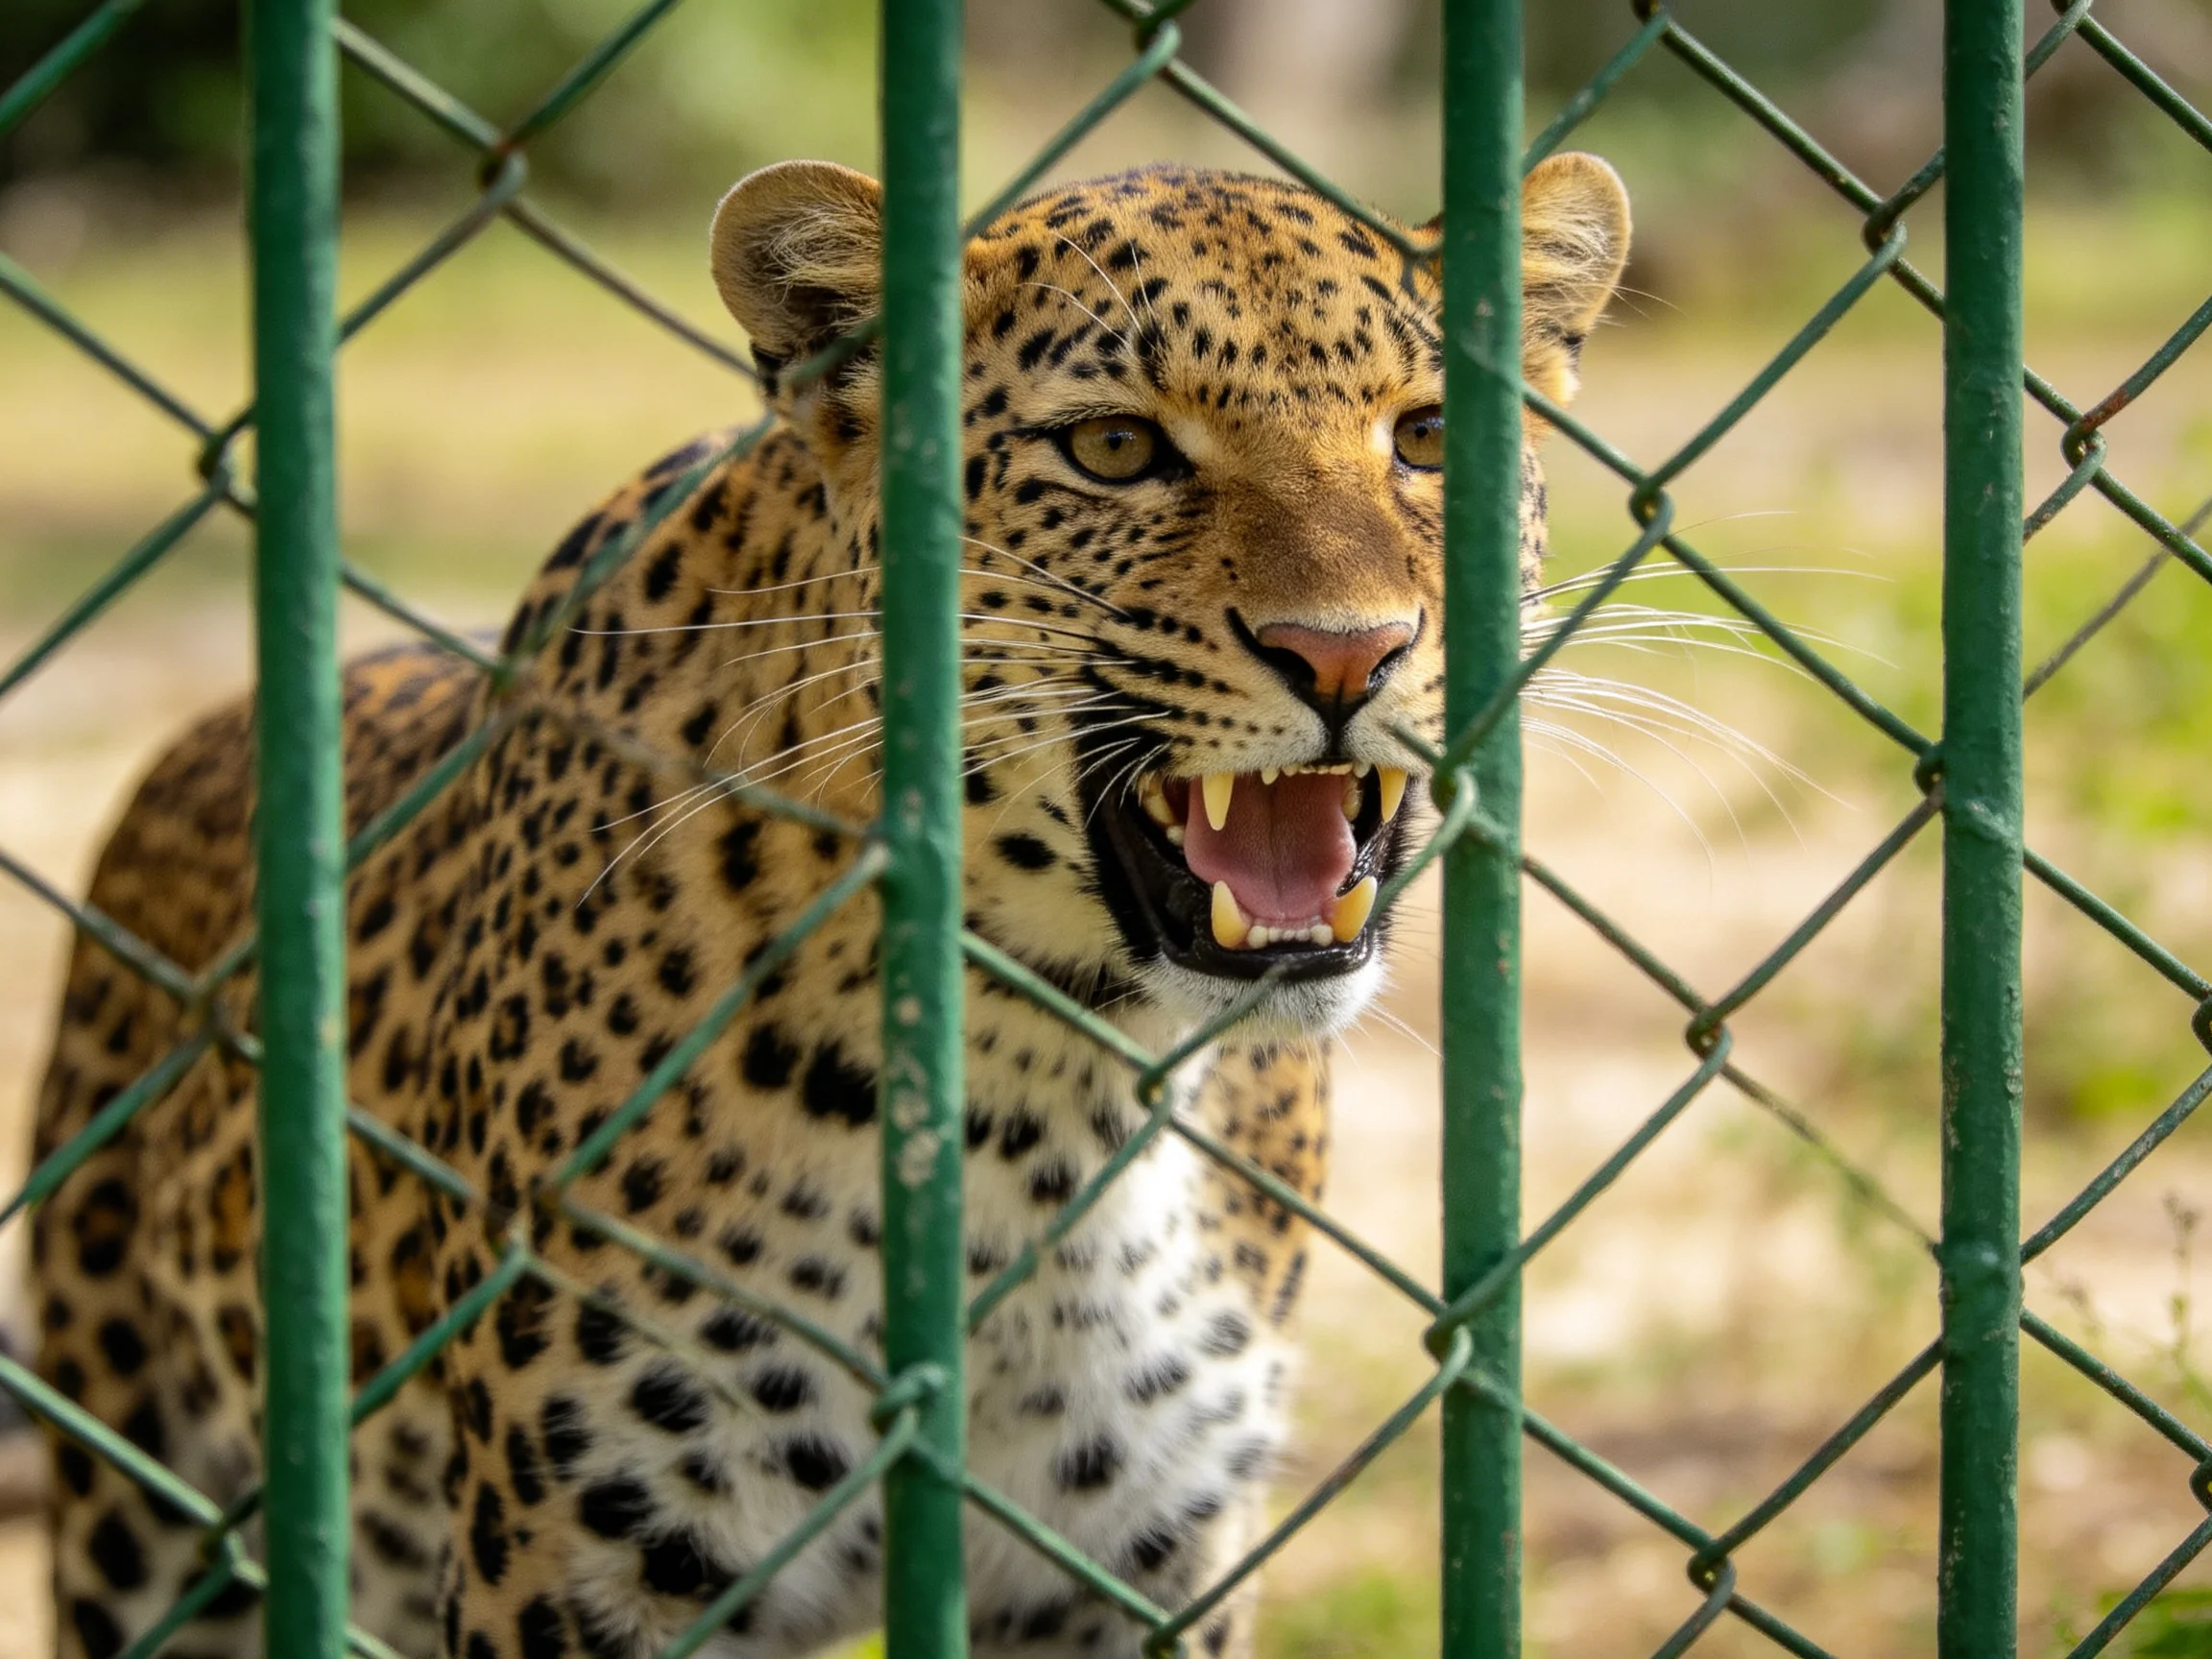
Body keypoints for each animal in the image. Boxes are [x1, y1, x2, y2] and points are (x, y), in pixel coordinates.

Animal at [25, 152, 1628, 1659]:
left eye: (1429, 438)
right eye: (1113, 448)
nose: (1351, 652)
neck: (1045, 1105)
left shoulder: (1148, 1562)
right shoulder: (578, 1574)